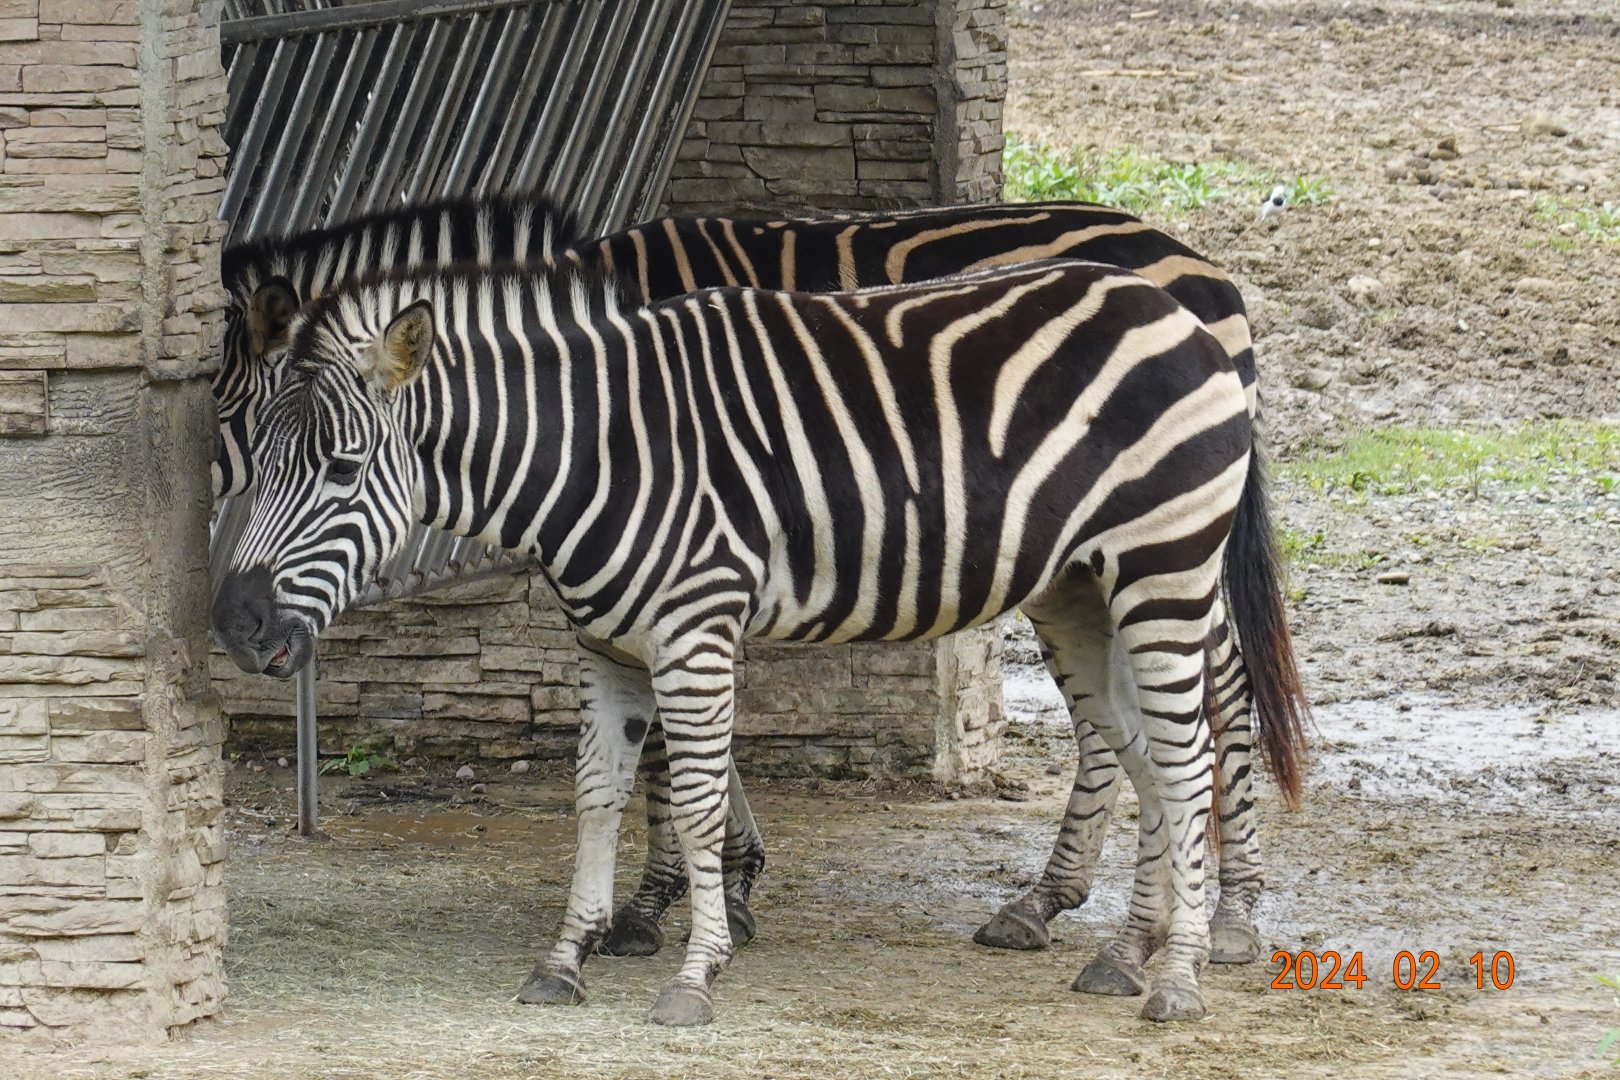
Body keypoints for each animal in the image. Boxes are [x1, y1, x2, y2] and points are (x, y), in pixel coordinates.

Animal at [211, 255, 1309, 1025]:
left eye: (344, 469)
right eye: (252, 458)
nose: (234, 622)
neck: (594, 449)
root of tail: (1180, 307)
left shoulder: (693, 629)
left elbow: (696, 807)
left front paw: (697, 974)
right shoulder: (605, 646)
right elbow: (597, 798)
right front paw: (566, 958)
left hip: (1165, 569)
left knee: (1191, 754)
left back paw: (1181, 975)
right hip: (1082, 591)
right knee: (1142, 755)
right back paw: (1125, 954)